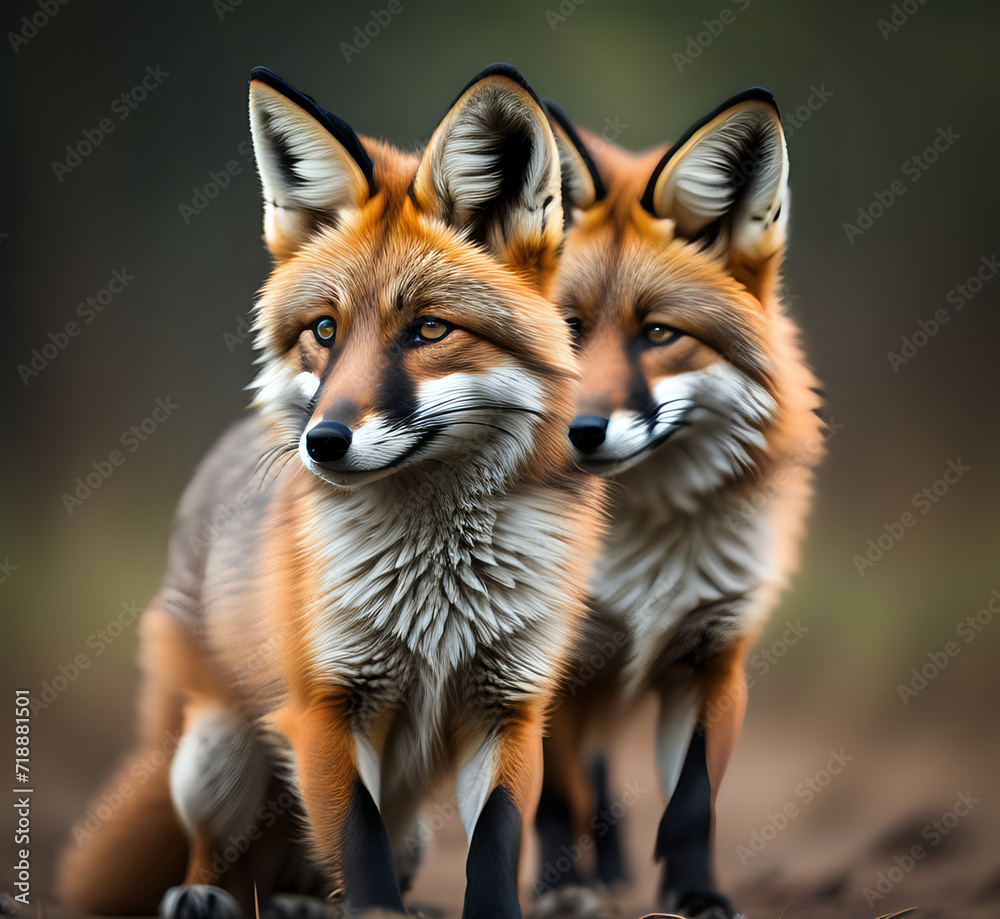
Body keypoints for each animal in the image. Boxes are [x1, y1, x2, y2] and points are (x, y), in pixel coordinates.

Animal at [58, 63, 605, 919]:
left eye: (428, 330)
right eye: (323, 330)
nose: (323, 441)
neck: (438, 585)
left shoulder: (509, 706)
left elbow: (492, 845)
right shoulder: (327, 704)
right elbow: (357, 843)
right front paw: (372, 910)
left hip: (406, 821)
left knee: (319, 873)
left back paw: (306, 902)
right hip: (215, 753)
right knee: (217, 851)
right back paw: (206, 894)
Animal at [532, 90, 825, 919]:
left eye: (659, 333)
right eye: (568, 328)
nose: (579, 432)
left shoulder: (712, 658)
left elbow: (692, 805)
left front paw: (696, 894)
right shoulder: (550, 659)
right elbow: (553, 798)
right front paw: (561, 889)